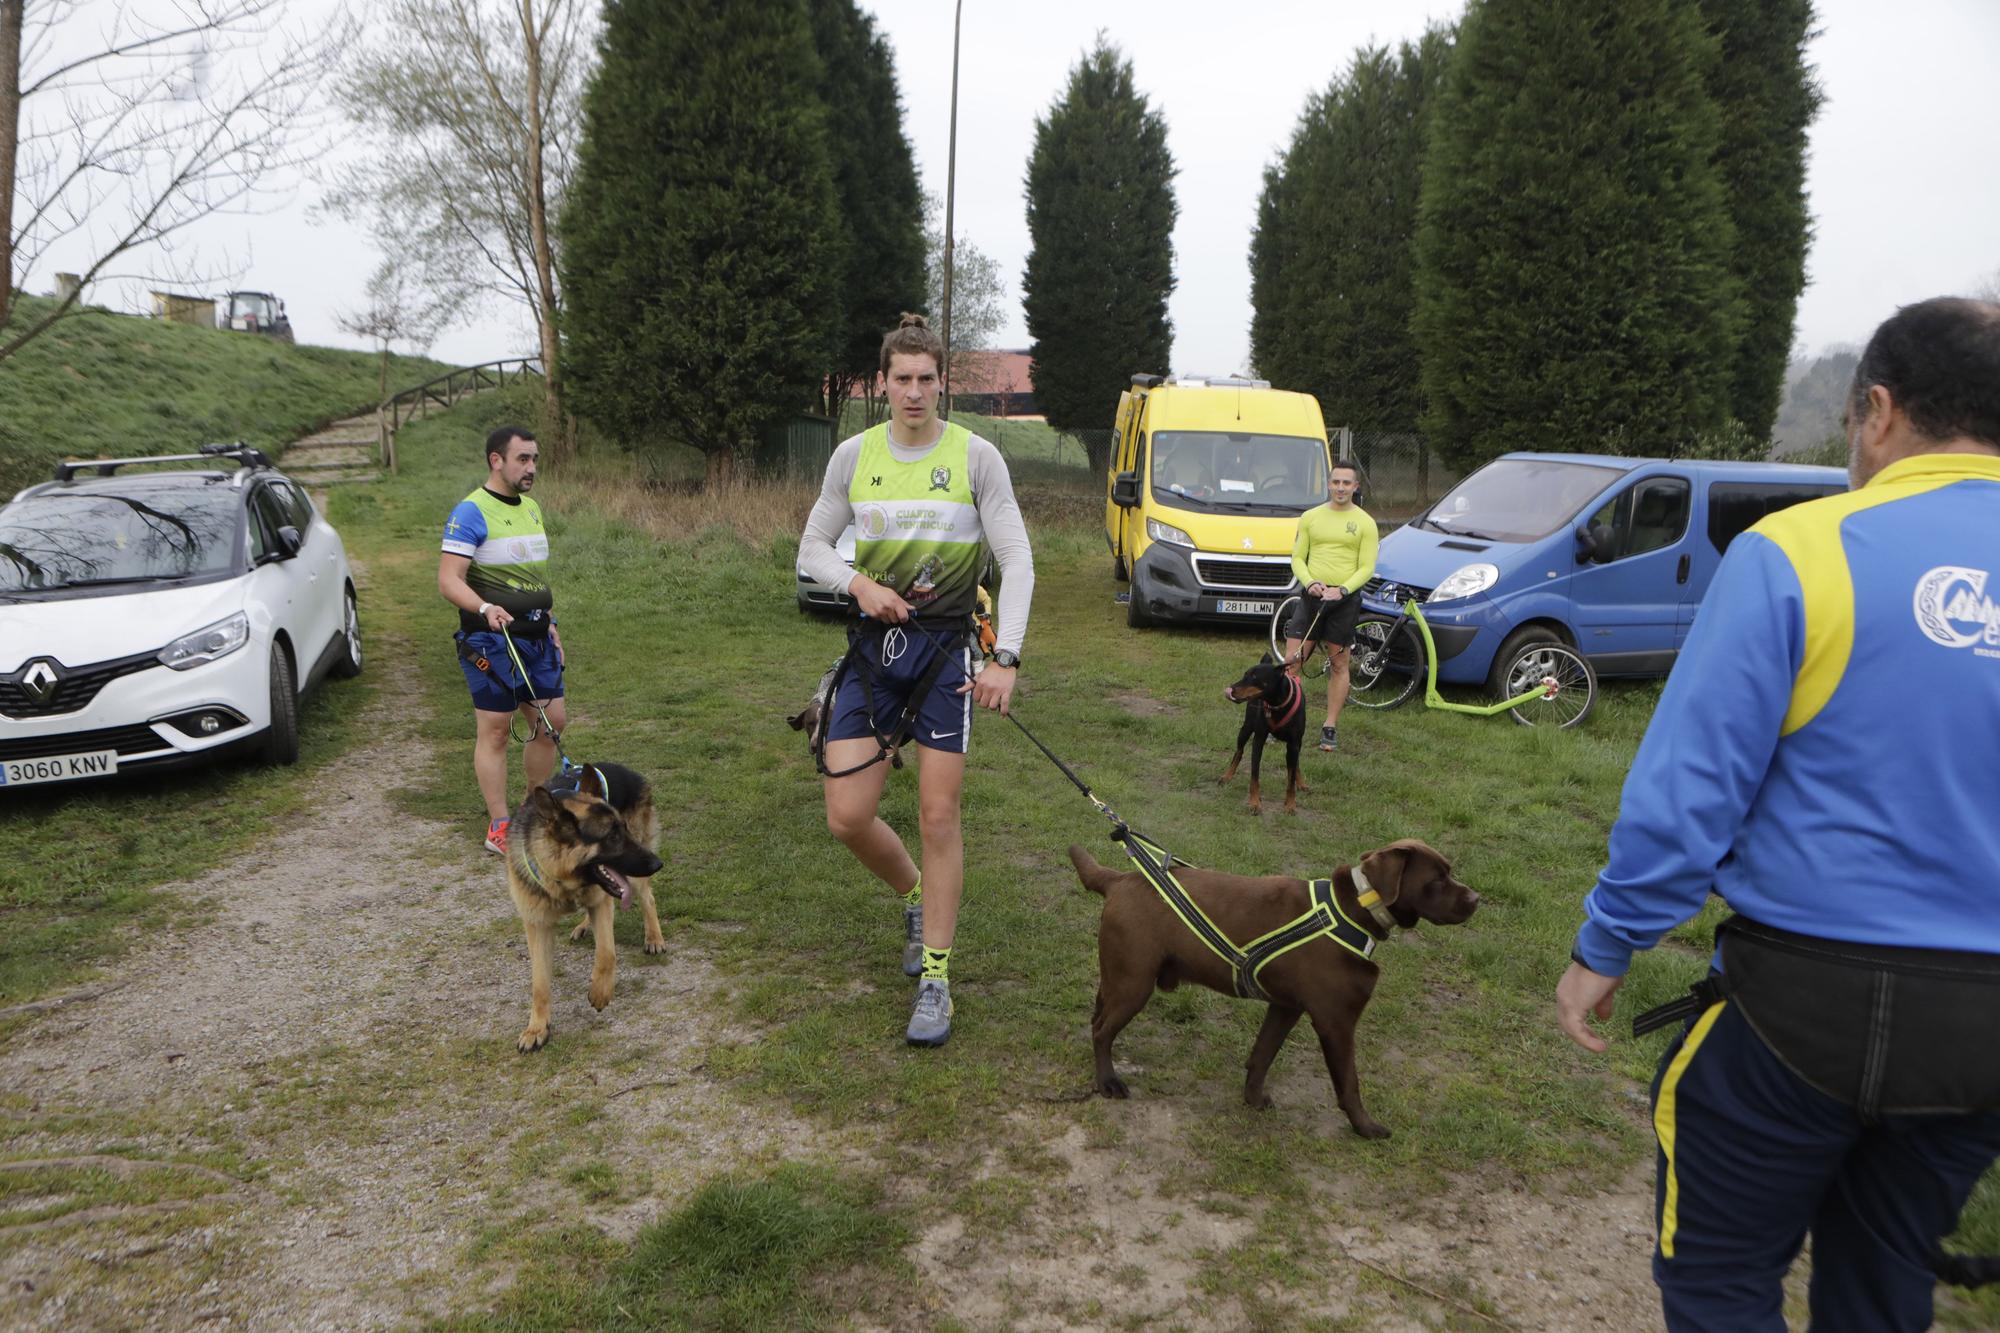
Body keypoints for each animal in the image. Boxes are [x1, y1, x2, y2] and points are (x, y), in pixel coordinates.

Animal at [508, 756, 664, 1048]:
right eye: (611, 837)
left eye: (624, 829)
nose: (657, 864)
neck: (562, 881)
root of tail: (626, 769)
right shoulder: (537, 925)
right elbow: (539, 983)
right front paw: (537, 1028)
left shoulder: (602, 903)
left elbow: (606, 953)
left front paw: (600, 993)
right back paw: (583, 925)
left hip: (633, 879)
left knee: (648, 898)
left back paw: (654, 938)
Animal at [1216, 652, 1312, 808]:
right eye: (1245, 674)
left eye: (1255, 677)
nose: (1231, 688)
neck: (1278, 703)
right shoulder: (1259, 739)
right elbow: (1255, 773)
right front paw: (1255, 803)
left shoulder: (1294, 743)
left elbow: (1291, 777)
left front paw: (1290, 805)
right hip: (1246, 728)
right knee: (1239, 752)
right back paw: (1227, 776)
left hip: (1298, 743)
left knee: (1295, 763)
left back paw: (1302, 783)